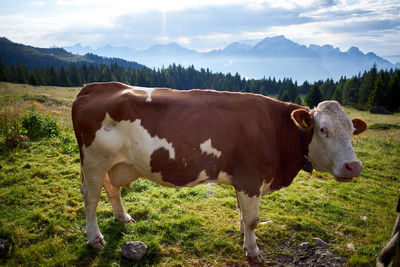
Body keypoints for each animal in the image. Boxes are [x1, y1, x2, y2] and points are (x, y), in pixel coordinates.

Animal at [71, 82, 366, 264]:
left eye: (352, 130)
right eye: (323, 129)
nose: (354, 166)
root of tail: (95, 87)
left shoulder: (244, 180)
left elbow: (243, 214)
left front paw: (243, 237)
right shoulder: (251, 178)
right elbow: (253, 219)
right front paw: (253, 251)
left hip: (115, 163)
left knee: (112, 188)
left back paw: (122, 217)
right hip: (94, 161)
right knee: (91, 198)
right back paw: (94, 238)